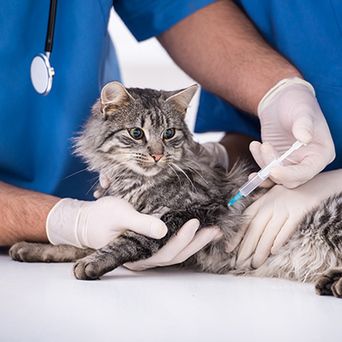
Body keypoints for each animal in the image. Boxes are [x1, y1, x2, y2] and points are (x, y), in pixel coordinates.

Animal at [9, 81, 342, 298]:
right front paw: (35, 247)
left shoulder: (193, 211)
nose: (157, 154)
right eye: (136, 133)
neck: (134, 182)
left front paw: (92, 263)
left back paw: (334, 284)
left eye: (169, 133)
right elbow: (81, 241)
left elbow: (128, 239)